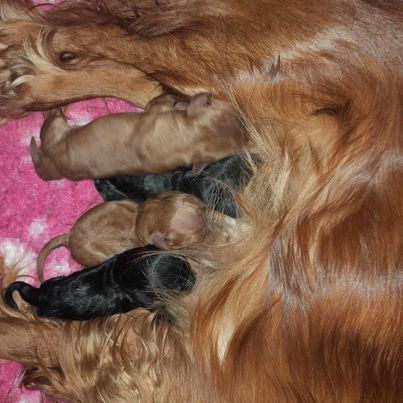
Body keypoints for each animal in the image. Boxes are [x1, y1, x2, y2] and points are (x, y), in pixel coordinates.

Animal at [3, 246, 195, 322]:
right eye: (178, 285)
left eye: (186, 264)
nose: (194, 279)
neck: (118, 274)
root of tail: (39, 293)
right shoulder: (145, 299)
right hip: (51, 312)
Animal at [30, 92, 243, 181]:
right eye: (238, 114)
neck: (188, 140)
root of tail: (50, 167)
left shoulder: (155, 110)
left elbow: (161, 99)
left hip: (54, 130)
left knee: (49, 123)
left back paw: (52, 110)